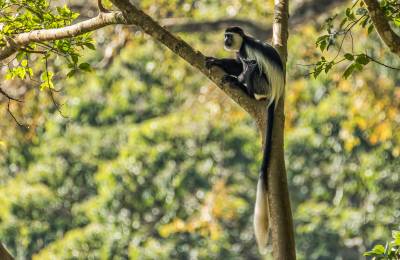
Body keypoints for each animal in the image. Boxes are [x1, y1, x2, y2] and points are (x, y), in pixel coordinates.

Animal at [205, 26, 286, 252]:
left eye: (228, 36)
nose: (225, 40)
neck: (244, 42)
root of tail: (276, 94)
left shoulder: (247, 51)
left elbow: (249, 65)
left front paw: (236, 78)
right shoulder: (238, 53)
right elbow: (234, 63)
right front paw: (214, 60)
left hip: (263, 85)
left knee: (253, 69)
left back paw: (243, 88)